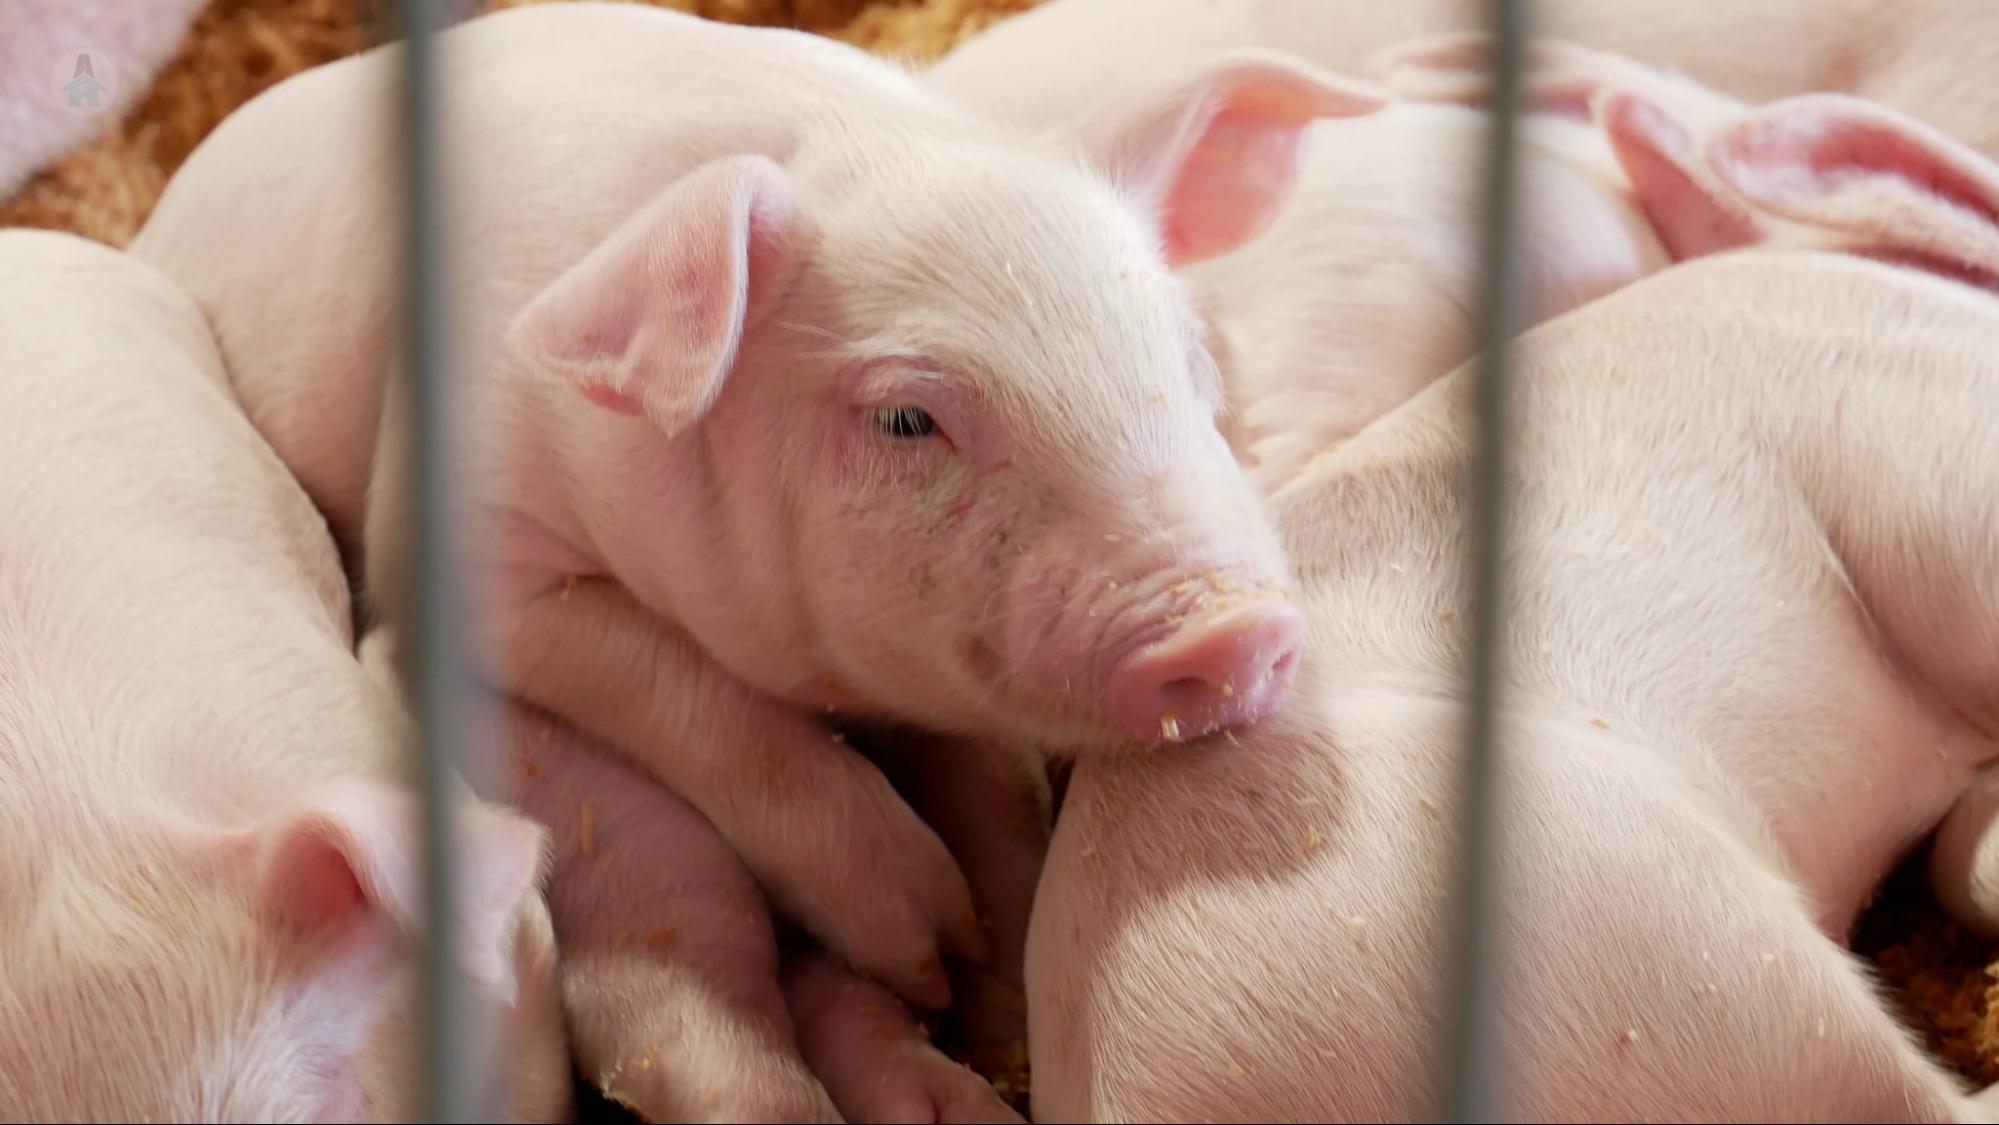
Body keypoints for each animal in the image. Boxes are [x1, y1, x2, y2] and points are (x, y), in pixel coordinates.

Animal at [129, 0, 1349, 1111]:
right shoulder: (446, 545)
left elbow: (997, 789)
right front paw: (923, 937)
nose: (1235, 627)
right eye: (906, 419)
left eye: (1186, 358)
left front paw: (990, 969)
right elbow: (707, 702)